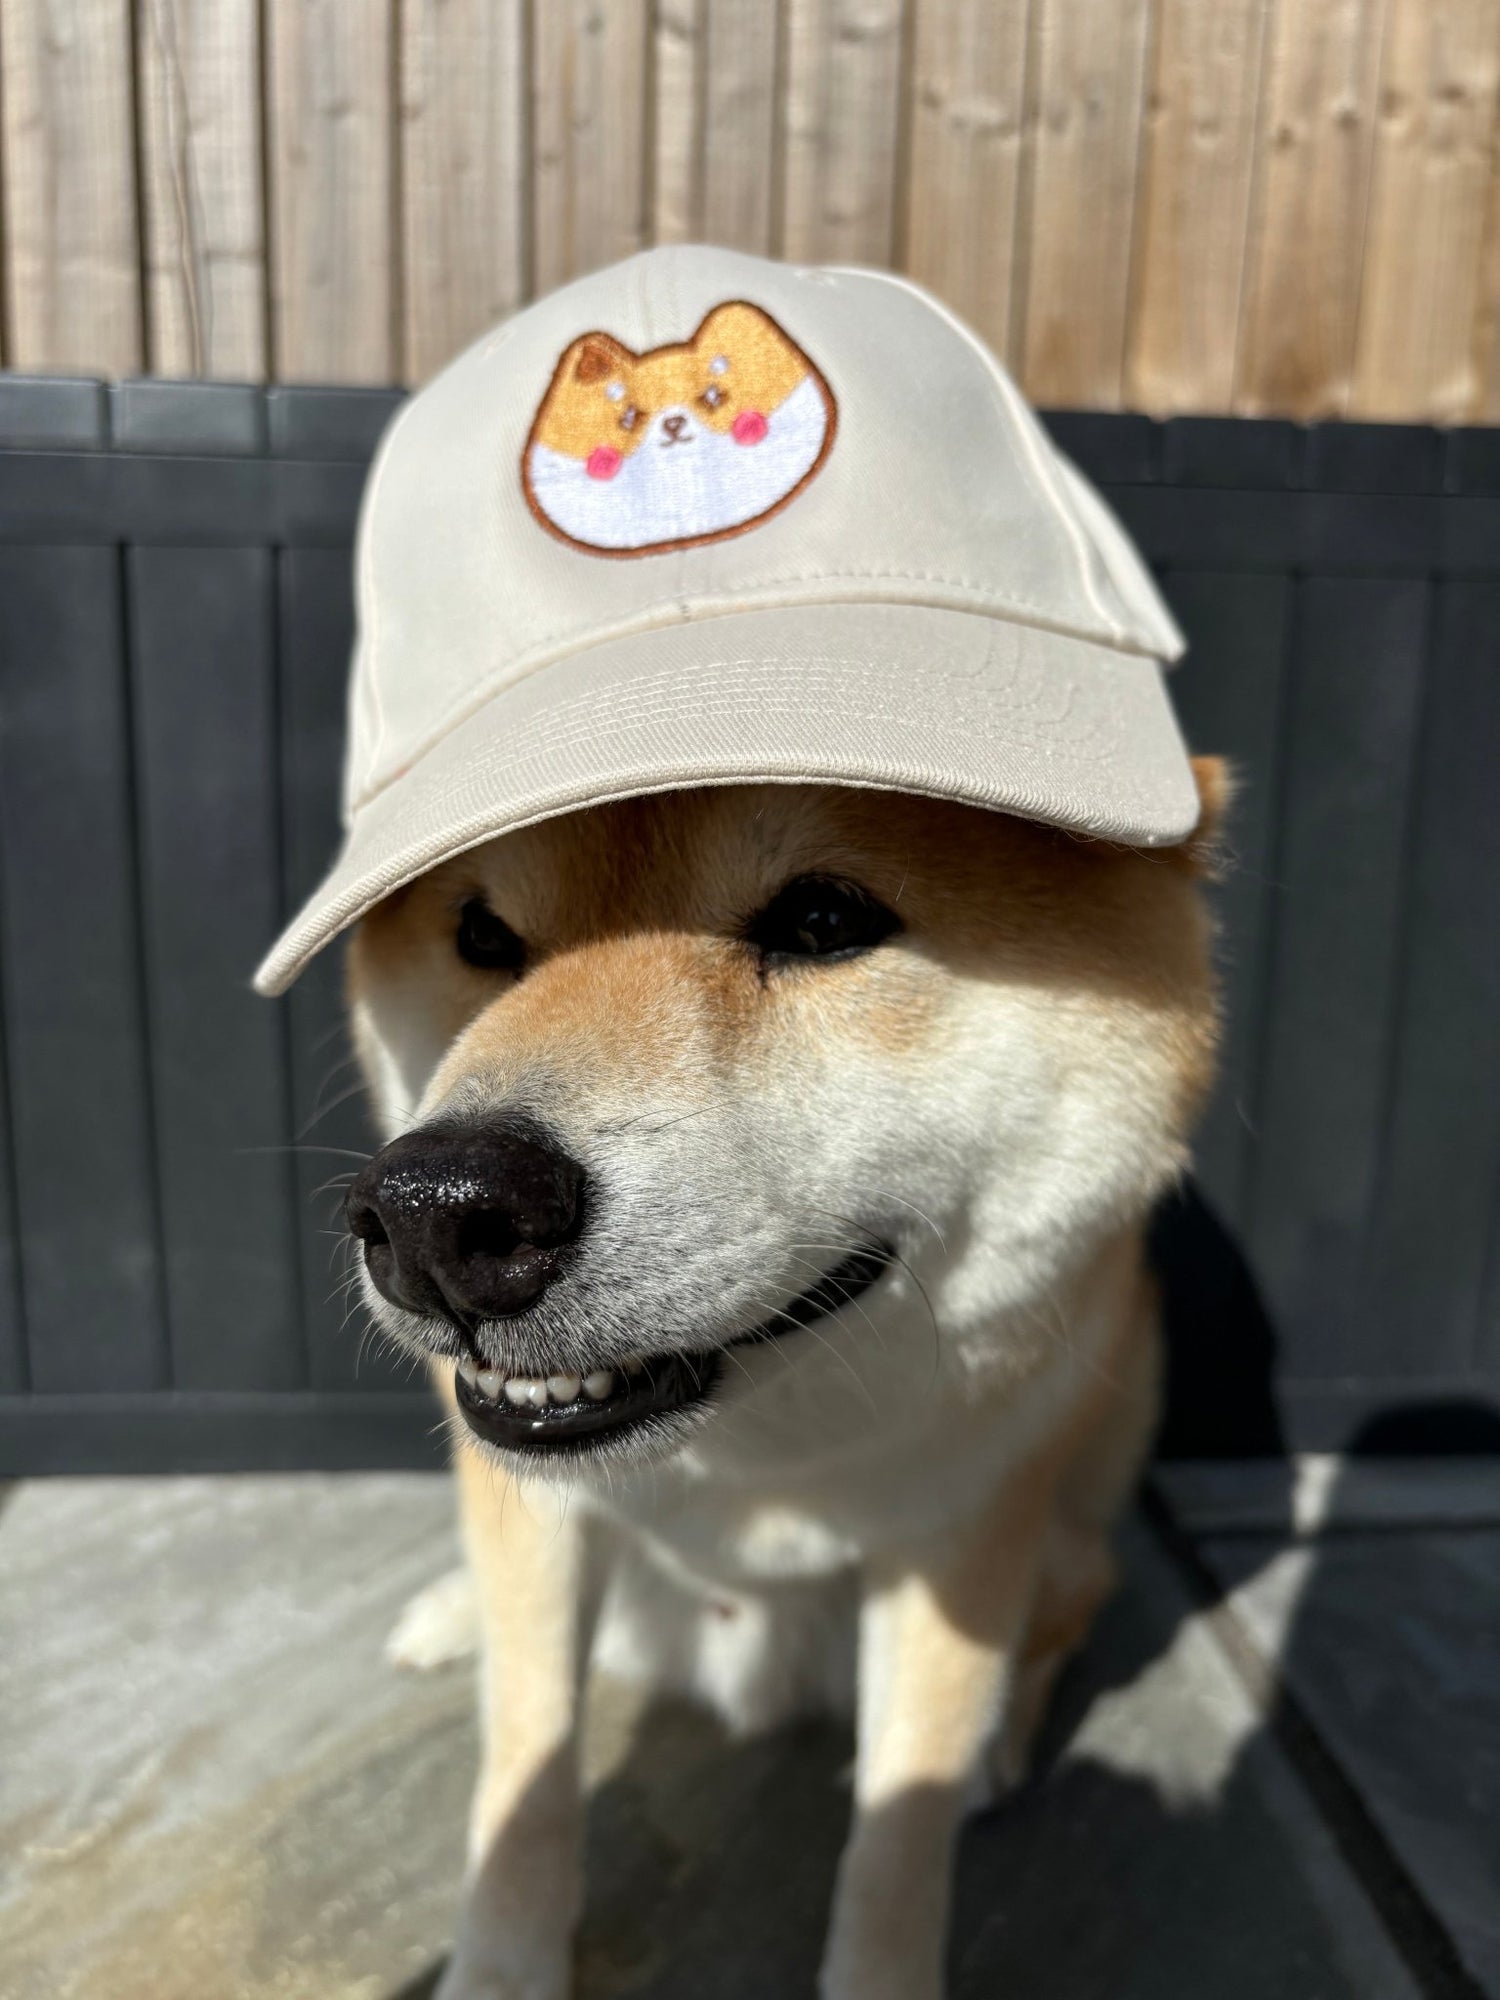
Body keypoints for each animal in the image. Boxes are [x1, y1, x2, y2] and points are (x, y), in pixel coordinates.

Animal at [340, 768, 1224, 2000]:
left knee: (1066, 1610)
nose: (435, 1213)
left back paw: (996, 1747)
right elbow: (524, 1766)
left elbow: (900, 1840)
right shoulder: (539, 1515)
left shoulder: (957, 1537)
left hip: (1061, 1517)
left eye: (822, 919)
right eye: (480, 935)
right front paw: (502, 1966)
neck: (757, 1452)